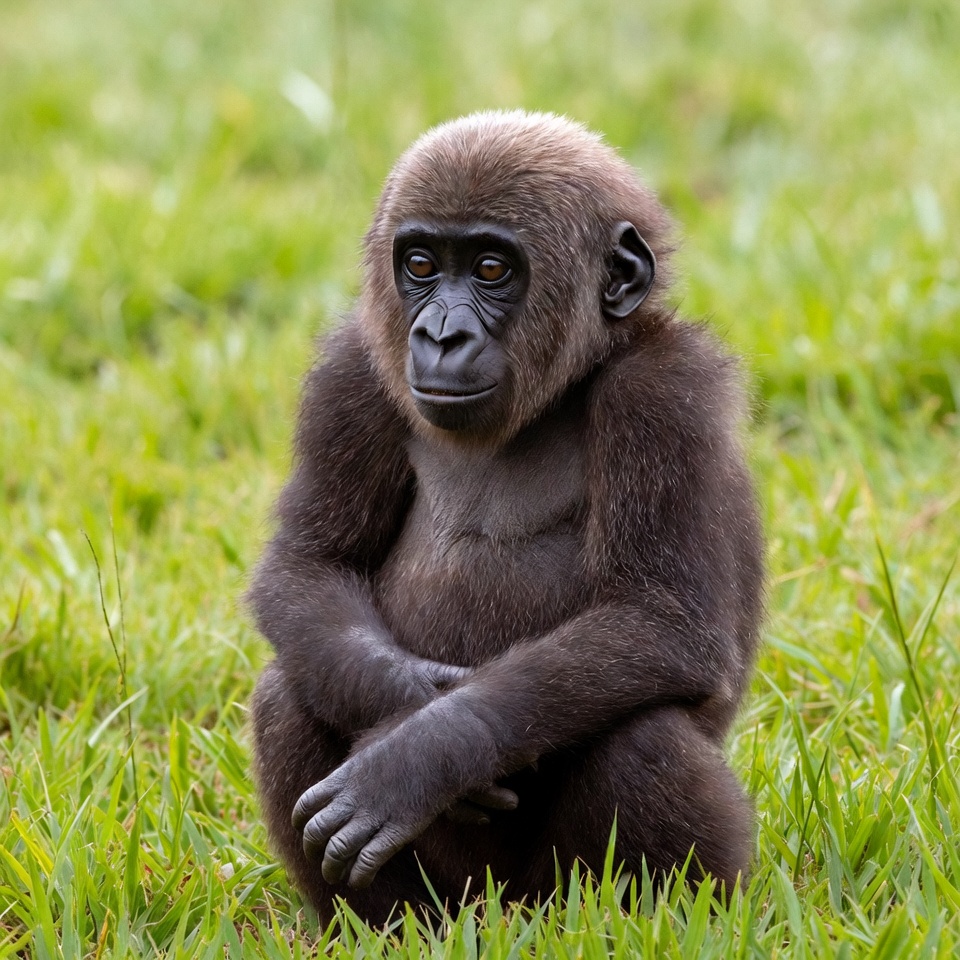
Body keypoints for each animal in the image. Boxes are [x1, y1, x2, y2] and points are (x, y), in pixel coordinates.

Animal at [247, 110, 764, 926]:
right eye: (420, 264)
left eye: (491, 270)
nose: (439, 336)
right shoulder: (351, 371)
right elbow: (310, 563)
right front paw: (401, 705)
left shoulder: (664, 393)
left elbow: (664, 619)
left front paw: (426, 752)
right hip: (458, 896)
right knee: (290, 692)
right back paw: (388, 928)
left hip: (550, 892)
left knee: (643, 737)